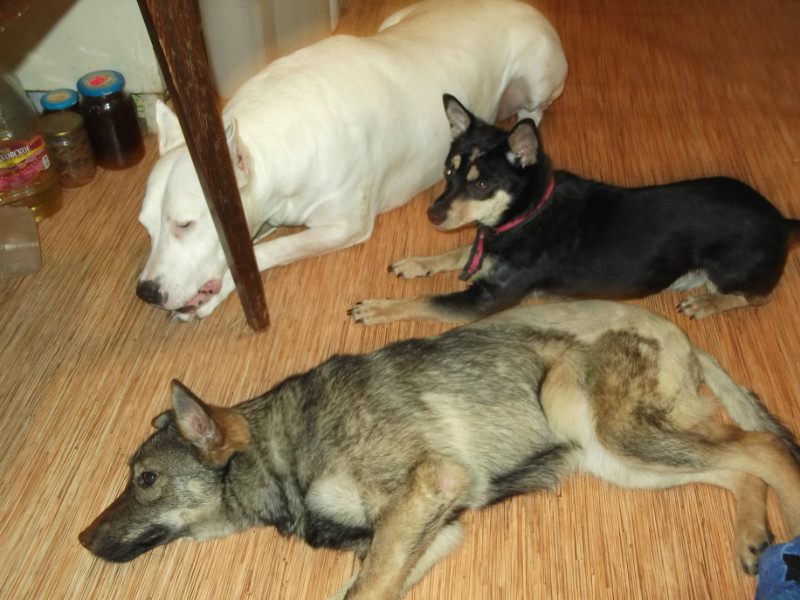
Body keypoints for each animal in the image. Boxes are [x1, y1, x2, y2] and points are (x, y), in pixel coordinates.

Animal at [80, 300, 800, 599]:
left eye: (144, 479)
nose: (82, 540)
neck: (286, 446)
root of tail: (680, 335)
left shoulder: (429, 488)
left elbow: (367, 591)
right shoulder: (432, 530)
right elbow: (364, 588)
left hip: (599, 422)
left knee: (765, 448)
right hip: (621, 460)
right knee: (738, 467)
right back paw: (752, 535)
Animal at [134, 0, 568, 321]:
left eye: (184, 224)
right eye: (146, 226)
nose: (146, 292)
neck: (271, 138)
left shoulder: (343, 226)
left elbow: (261, 254)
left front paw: (215, 292)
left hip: (536, 72)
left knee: (534, 112)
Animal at [349, 95, 800, 326]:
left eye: (480, 184)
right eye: (448, 171)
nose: (434, 215)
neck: (527, 214)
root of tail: (781, 221)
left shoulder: (485, 299)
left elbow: (423, 302)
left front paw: (378, 308)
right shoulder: (484, 244)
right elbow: (457, 251)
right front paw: (417, 263)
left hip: (730, 268)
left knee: (757, 297)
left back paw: (707, 304)